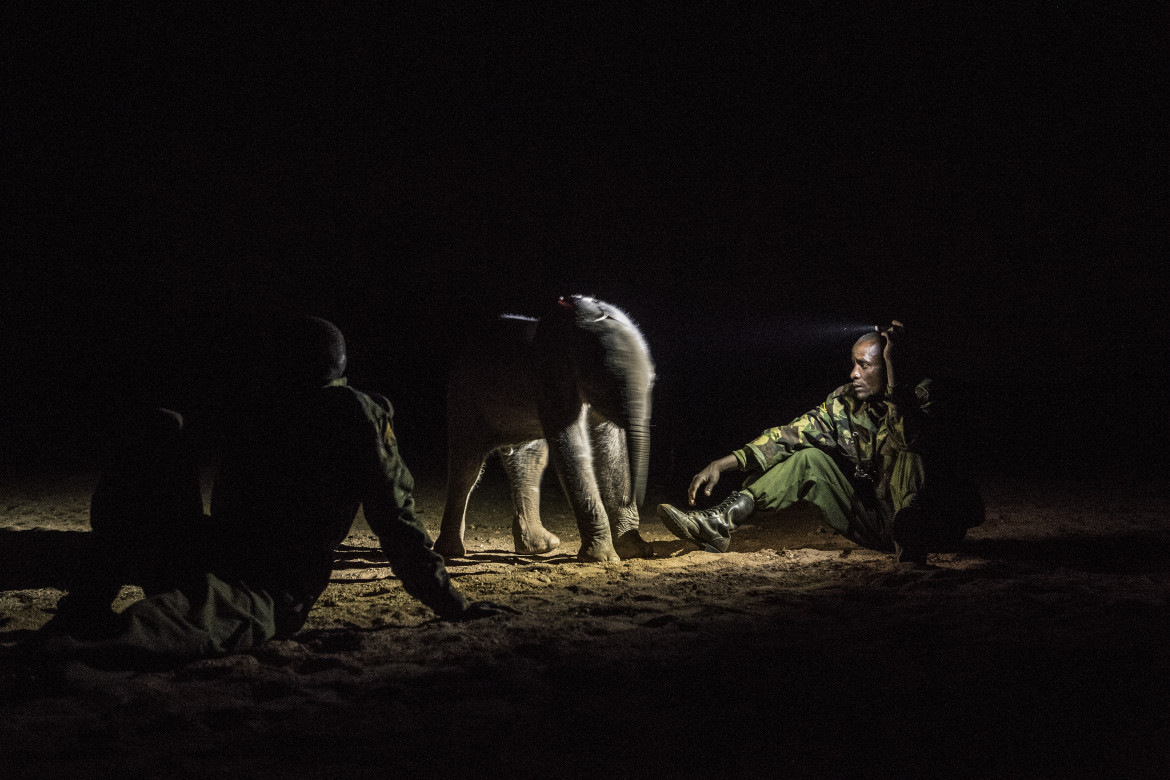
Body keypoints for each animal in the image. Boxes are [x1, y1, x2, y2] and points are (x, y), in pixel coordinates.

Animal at [439, 297, 655, 561]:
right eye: (610, 381)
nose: (638, 497)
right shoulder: (550, 376)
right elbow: (571, 444)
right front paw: (603, 558)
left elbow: (611, 442)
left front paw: (636, 550)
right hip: (463, 400)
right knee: (467, 467)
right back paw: (451, 552)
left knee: (530, 461)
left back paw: (541, 547)